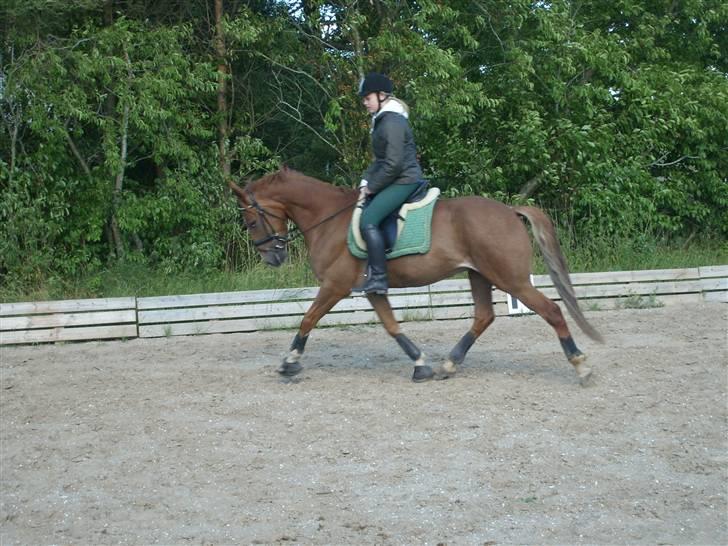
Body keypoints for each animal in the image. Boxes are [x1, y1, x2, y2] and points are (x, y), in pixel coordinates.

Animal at [232, 166, 604, 382]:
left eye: (250, 221)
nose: (272, 257)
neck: (328, 218)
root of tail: (510, 210)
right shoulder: (372, 289)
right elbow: (392, 327)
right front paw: (421, 363)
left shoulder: (335, 286)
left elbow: (307, 319)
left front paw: (289, 362)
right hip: (479, 274)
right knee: (484, 316)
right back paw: (448, 365)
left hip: (510, 279)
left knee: (551, 310)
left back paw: (581, 365)